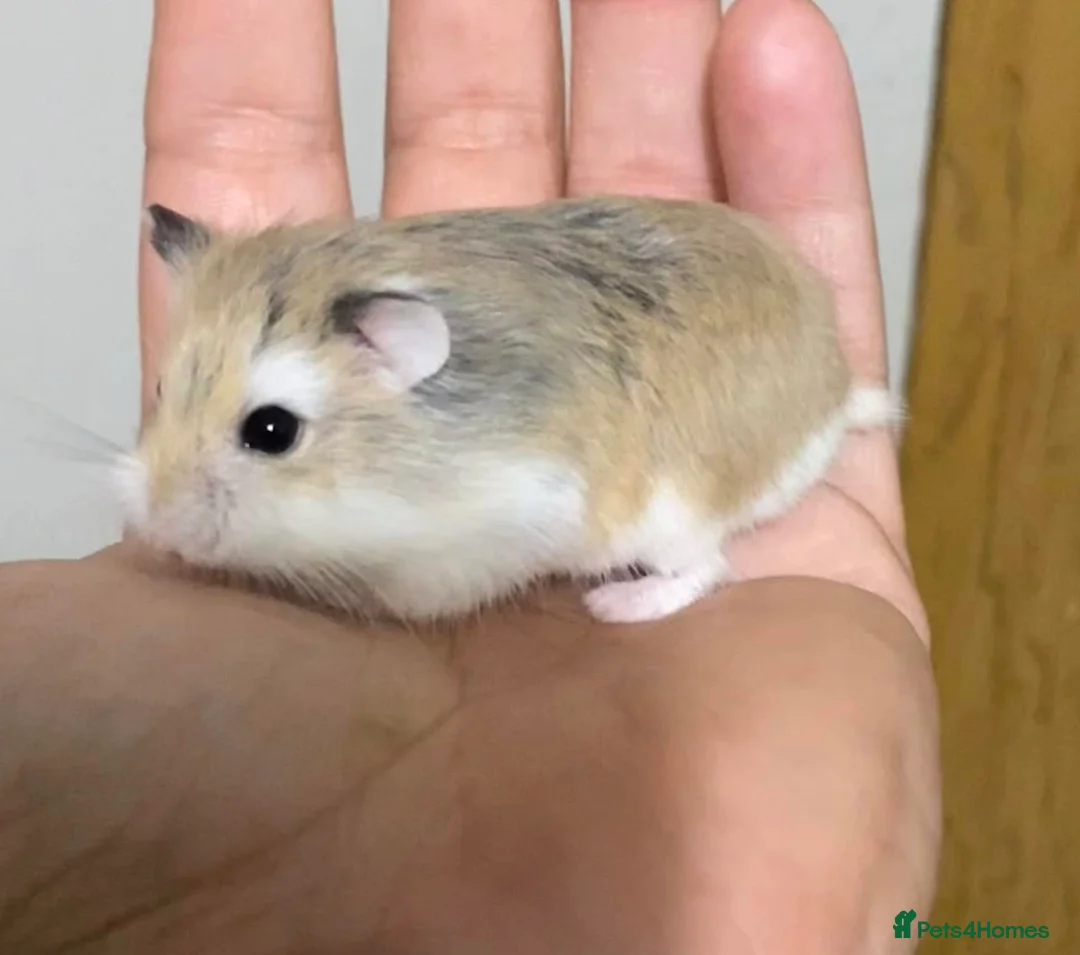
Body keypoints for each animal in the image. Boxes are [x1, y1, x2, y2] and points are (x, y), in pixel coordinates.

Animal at [115, 195, 899, 625]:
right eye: (158, 392)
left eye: (271, 431)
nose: (158, 530)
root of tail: (831, 397)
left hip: (670, 516)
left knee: (706, 569)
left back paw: (614, 608)